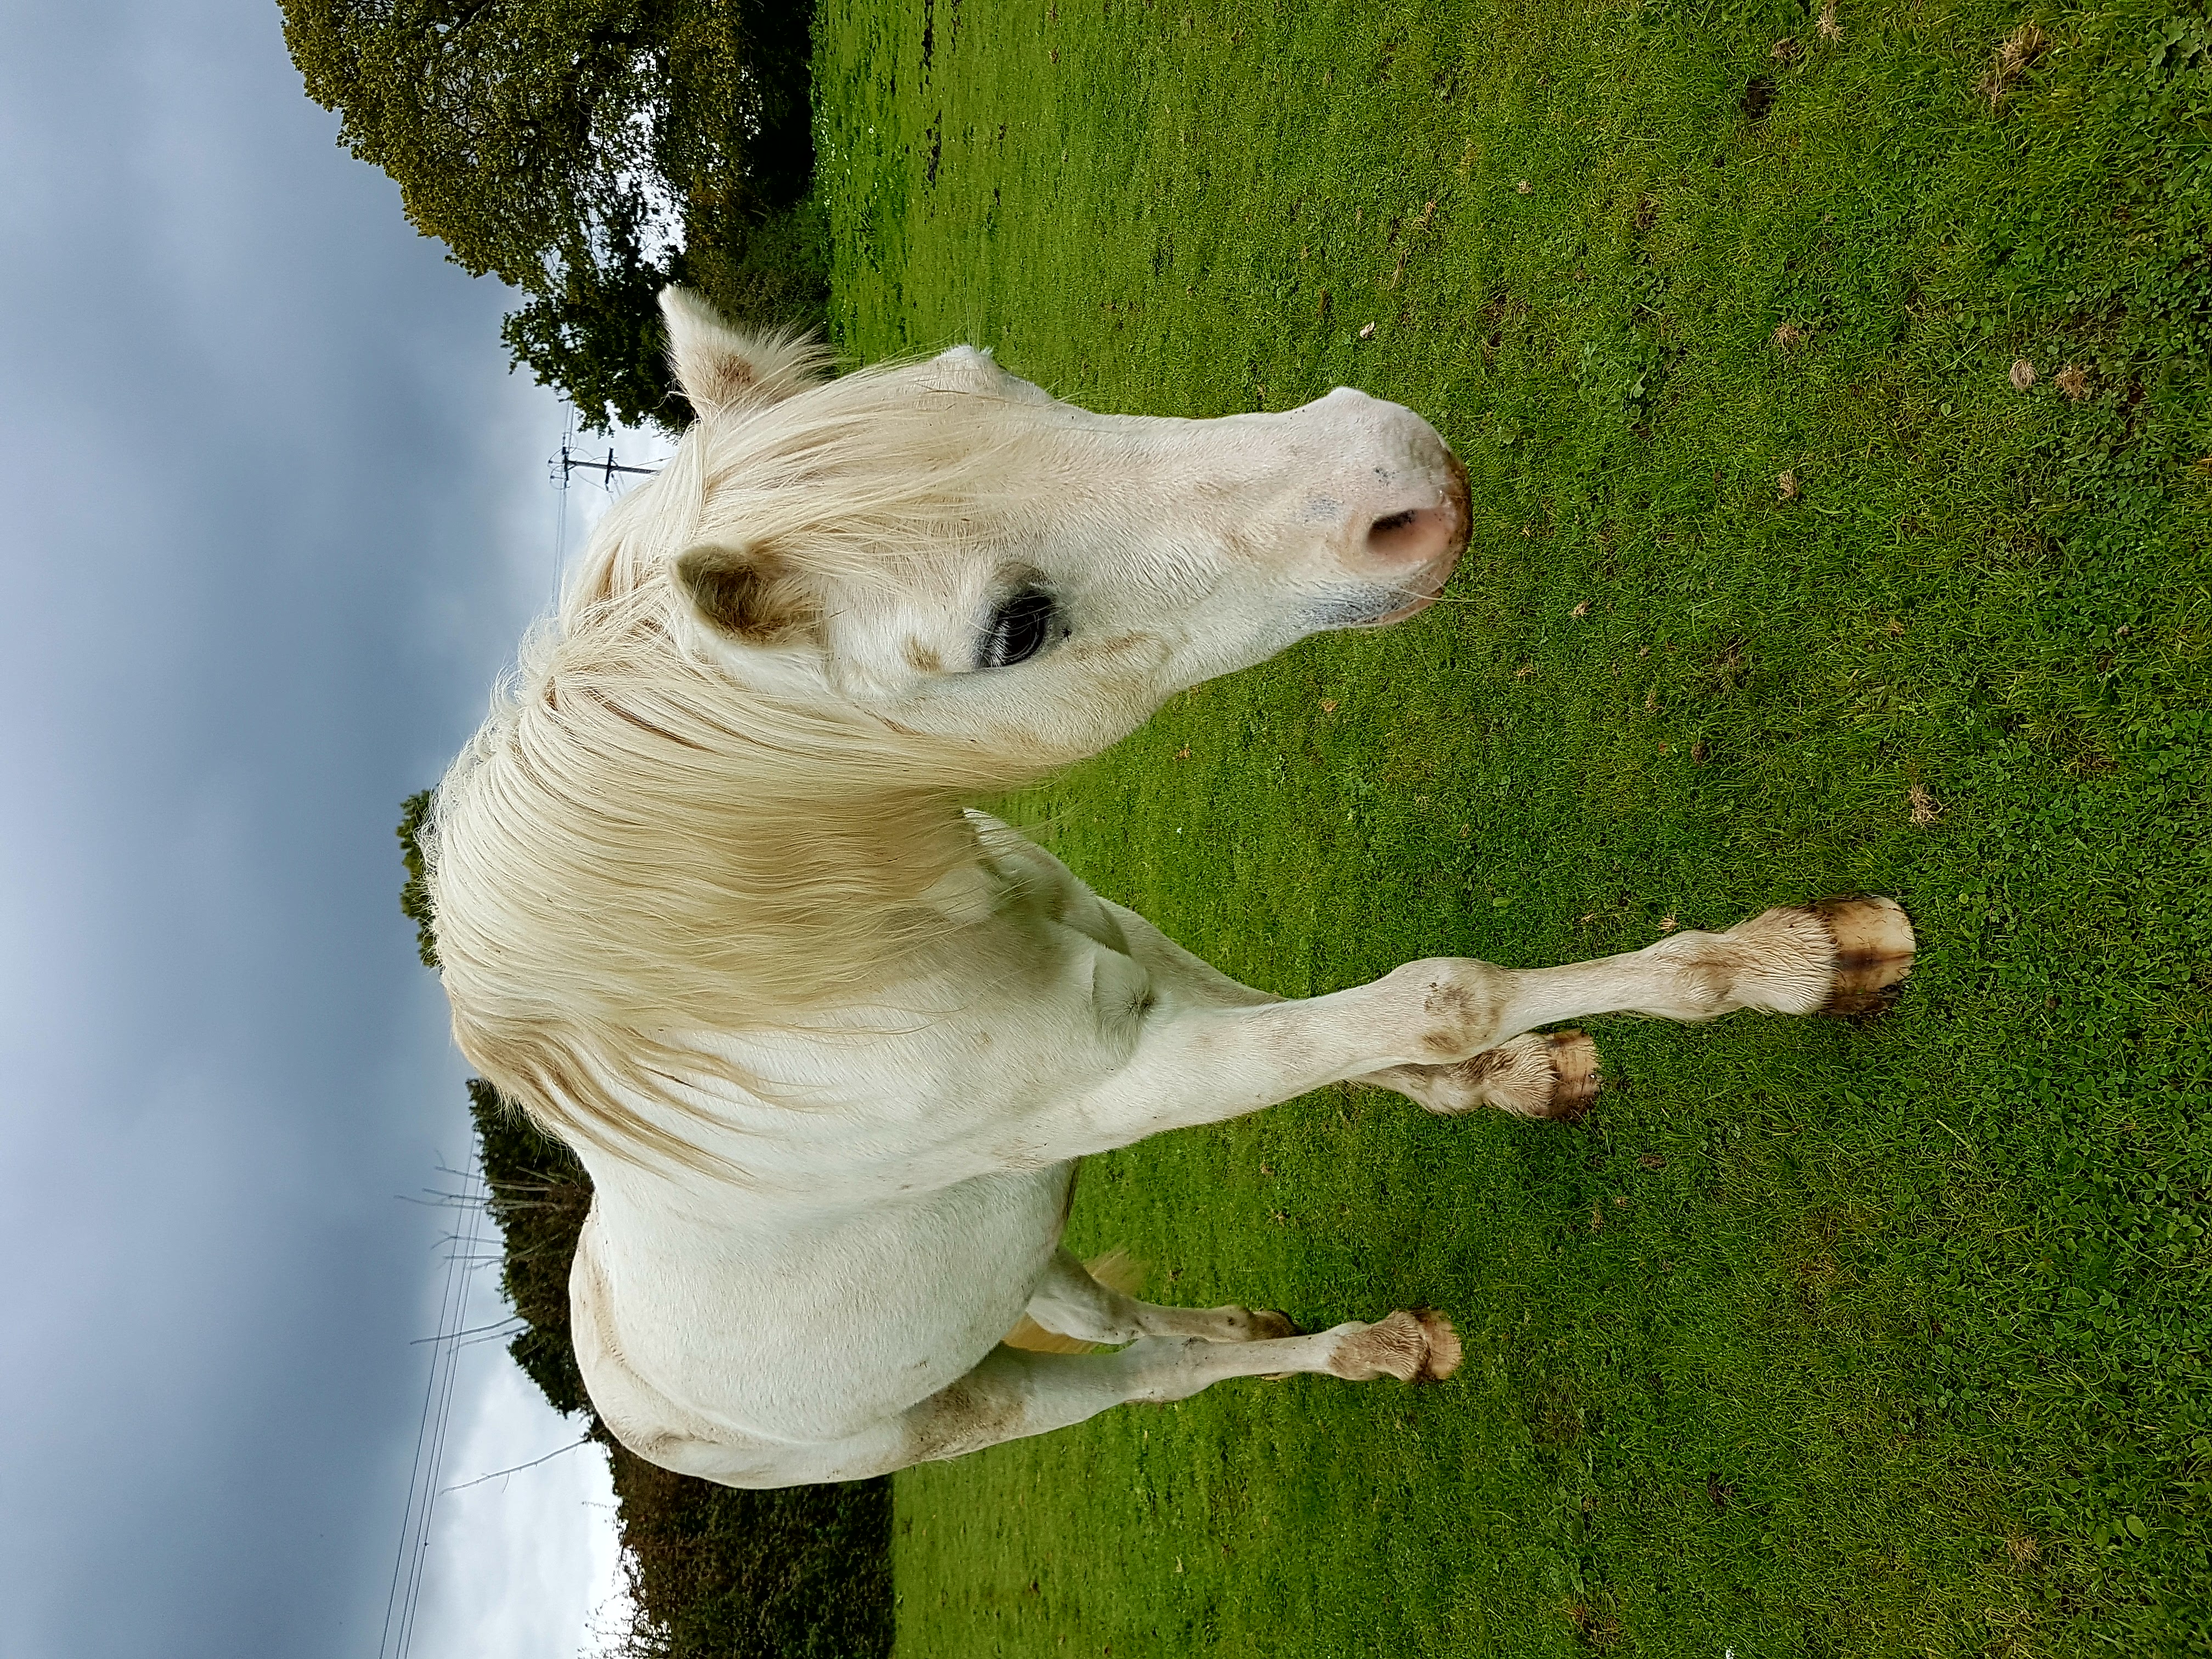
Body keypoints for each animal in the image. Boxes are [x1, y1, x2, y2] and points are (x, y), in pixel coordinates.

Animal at [423, 288, 1914, 1488]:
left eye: (996, 375)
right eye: (1014, 629)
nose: (1399, 472)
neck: (805, 978)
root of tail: (624, 1394)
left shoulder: (1126, 946)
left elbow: (1349, 1033)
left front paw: (1519, 1080)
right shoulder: (1125, 1087)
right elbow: (1436, 997)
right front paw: (1798, 962)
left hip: (1030, 1259)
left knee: (1135, 1322)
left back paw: (1269, 1325)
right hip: (977, 1404)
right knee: (1151, 1378)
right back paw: (1375, 1352)